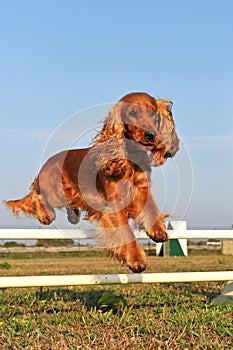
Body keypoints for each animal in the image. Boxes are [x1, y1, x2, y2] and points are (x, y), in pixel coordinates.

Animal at [5, 91, 180, 272]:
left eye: (153, 112)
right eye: (131, 113)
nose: (151, 135)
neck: (130, 158)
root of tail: (49, 161)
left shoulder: (141, 188)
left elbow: (151, 208)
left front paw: (158, 230)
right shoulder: (113, 202)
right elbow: (125, 231)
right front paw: (135, 259)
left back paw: (73, 216)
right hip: (54, 193)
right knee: (36, 192)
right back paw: (45, 215)